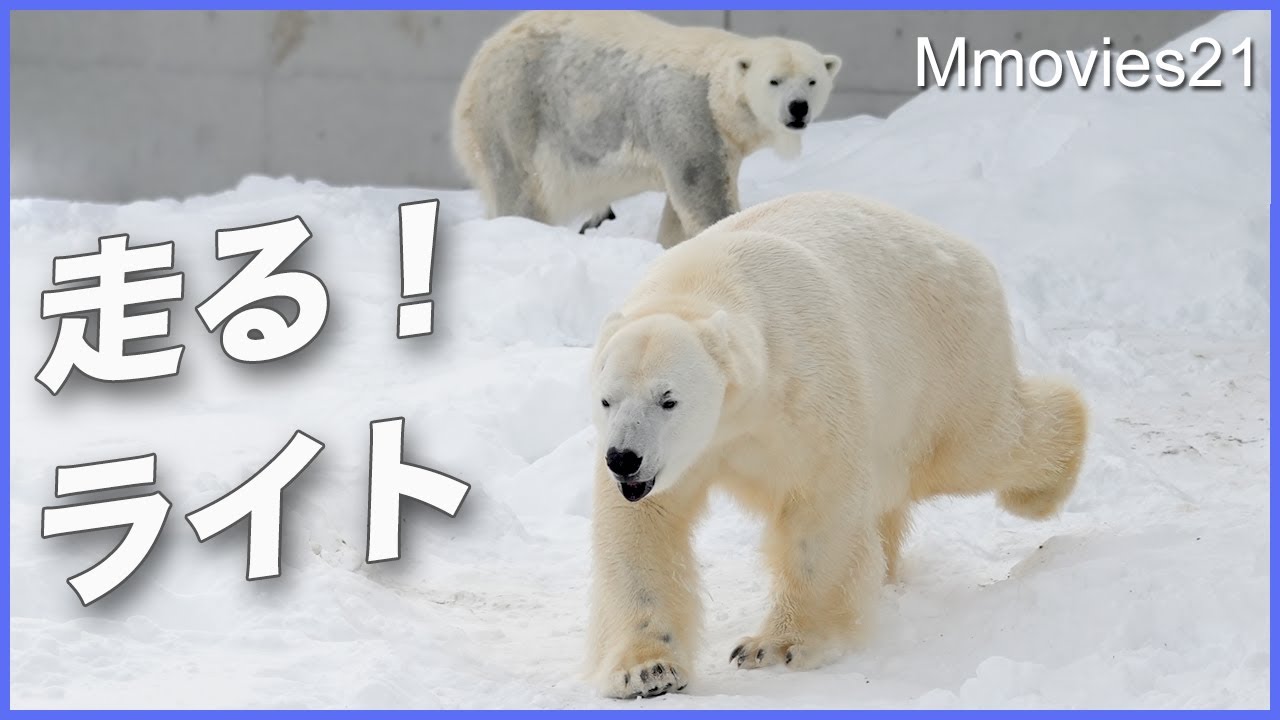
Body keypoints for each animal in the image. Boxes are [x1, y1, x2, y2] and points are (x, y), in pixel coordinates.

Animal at [451, 11, 842, 248]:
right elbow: (703, 195)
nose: (798, 108)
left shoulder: (721, 141)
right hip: (514, 106)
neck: (716, 91)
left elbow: (678, 213)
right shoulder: (687, 115)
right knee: (519, 185)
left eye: (812, 80)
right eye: (774, 81)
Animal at [583, 191, 1088, 699]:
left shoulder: (802, 390)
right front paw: (647, 671)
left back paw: (1044, 485)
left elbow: (819, 503)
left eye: (668, 399)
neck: (705, 283)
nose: (623, 459)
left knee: (979, 445)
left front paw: (779, 645)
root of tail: (966, 250)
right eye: (607, 399)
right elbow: (643, 527)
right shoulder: (678, 459)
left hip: (945, 360)